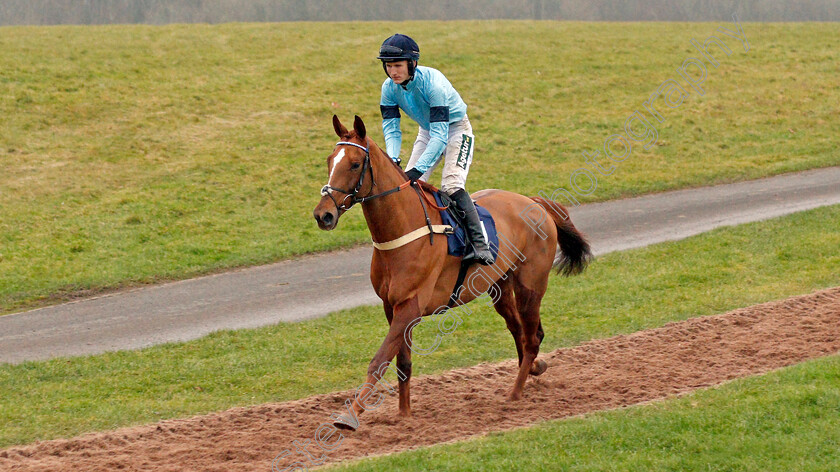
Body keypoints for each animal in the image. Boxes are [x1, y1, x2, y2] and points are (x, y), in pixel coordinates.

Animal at [310, 115, 592, 432]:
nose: (323, 215)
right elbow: (403, 363)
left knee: (531, 338)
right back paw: (533, 369)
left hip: (531, 285)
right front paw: (405, 414)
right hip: (500, 287)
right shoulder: (391, 306)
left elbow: (380, 360)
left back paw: (515, 393)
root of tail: (534, 202)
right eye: (330, 160)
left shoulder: (411, 305)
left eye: (355, 164)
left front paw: (349, 416)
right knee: (521, 332)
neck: (402, 230)